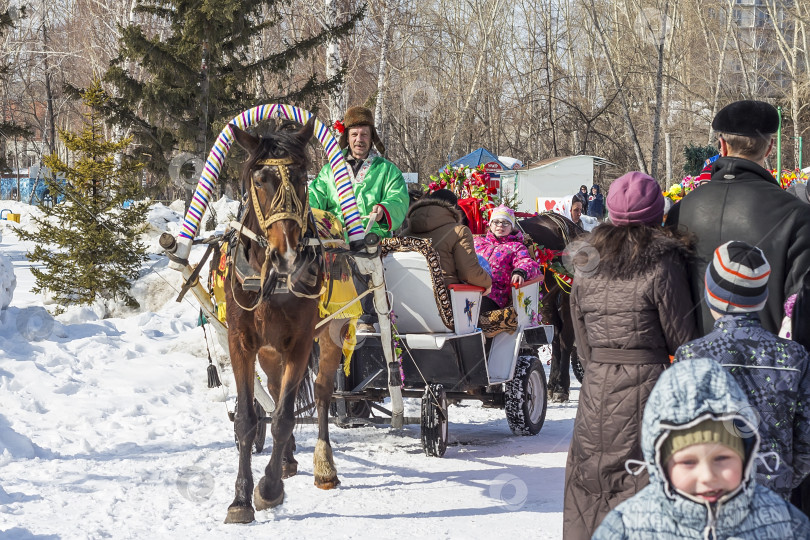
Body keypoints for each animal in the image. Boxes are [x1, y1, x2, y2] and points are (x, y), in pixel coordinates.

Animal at [224, 119, 348, 524]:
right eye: (260, 179)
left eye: (300, 178)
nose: (287, 255)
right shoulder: (241, 342)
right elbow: (248, 419)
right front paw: (240, 499)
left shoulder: (301, 341)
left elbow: (282, 418)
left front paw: (268, 489)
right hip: (268, 350)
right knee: (277, 387)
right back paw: (289, 459)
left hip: (334, 332)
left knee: (322, 392)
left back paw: (323, 466)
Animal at [516, 213, 584, 402]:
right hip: (547, 300)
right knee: (555, 337)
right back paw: (552, 384)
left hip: (567, 294)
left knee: (565, 338)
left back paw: (561, 386)